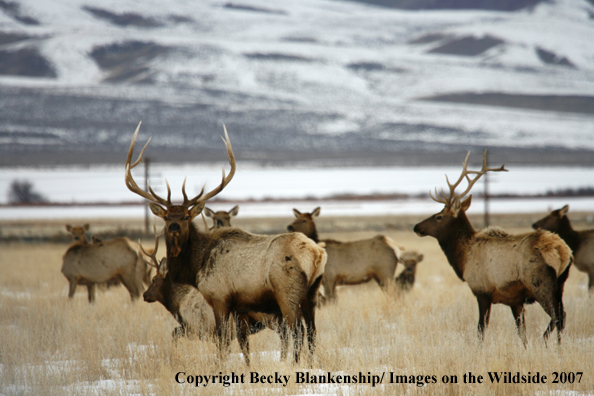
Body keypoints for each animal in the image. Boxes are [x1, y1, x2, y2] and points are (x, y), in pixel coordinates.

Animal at [123, 123, 324, 366]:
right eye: (167, 216)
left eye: (186, 216)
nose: (174, 227)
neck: (195, 266)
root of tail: (316, 253)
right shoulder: (240, 307)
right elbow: (241, 343)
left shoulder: (219, 298)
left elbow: (221, 341)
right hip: (312, 293)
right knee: (312, 332)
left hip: (287, 293)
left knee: (297, 331)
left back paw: (293, 365)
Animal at [412, 150, 568, 344]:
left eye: (438, 216)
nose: (416, 227)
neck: (463, 258)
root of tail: (562, 251)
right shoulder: (515, 299)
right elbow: (521, 331)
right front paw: (525, 347)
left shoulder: (482, 291)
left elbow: (481, 330)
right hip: (560, 284)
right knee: (561, 316)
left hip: (541, 284)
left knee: (558, 316)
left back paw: (548, 342)